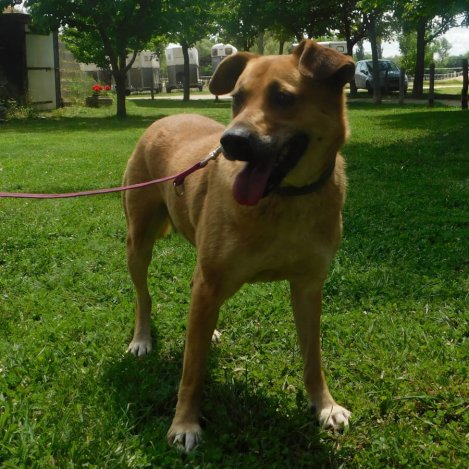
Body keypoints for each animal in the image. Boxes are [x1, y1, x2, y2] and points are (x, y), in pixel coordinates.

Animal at [123, 39, 355, 452]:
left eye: (283, 97)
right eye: (237, 98)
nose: (230, 141)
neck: (285, 197)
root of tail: (163, 118)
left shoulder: (309, 287)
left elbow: (313, 356)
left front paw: (324, 405)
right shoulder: (211, 281)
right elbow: (191, 370)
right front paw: (184, 423)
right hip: (139, 241)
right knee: (144, 295)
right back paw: (142, 339)